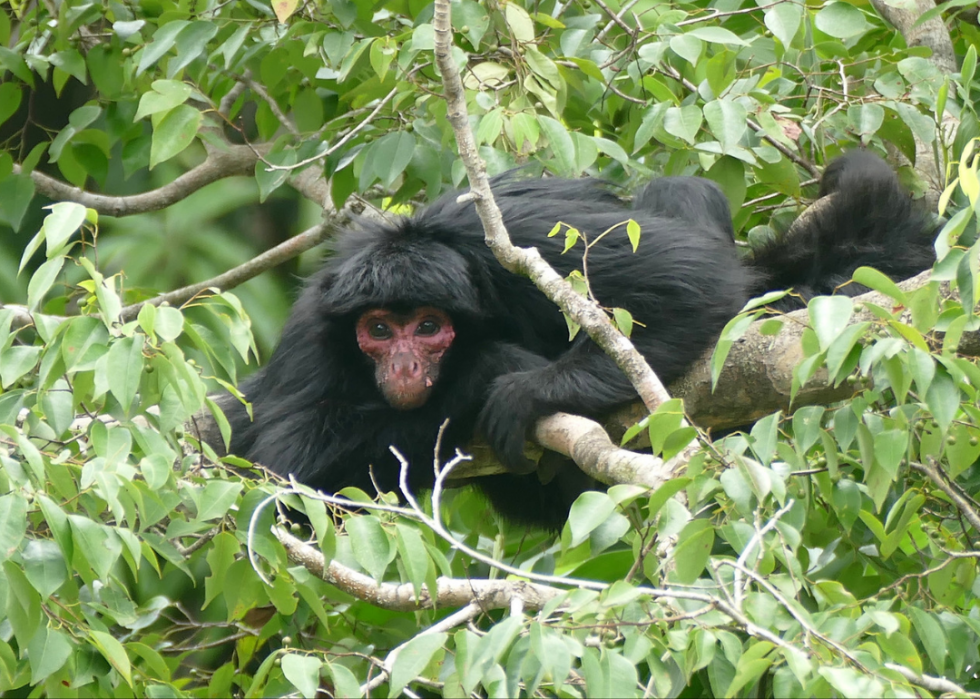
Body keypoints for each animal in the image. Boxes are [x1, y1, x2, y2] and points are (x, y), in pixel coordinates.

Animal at [220, 150, 936, 528]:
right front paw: (481, 372)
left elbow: (694, 279)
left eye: (426, 327)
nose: (401, 365)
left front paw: (515, 384)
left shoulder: (516, 234)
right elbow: (285, 474)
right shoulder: (315, 325)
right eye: (377, 330)